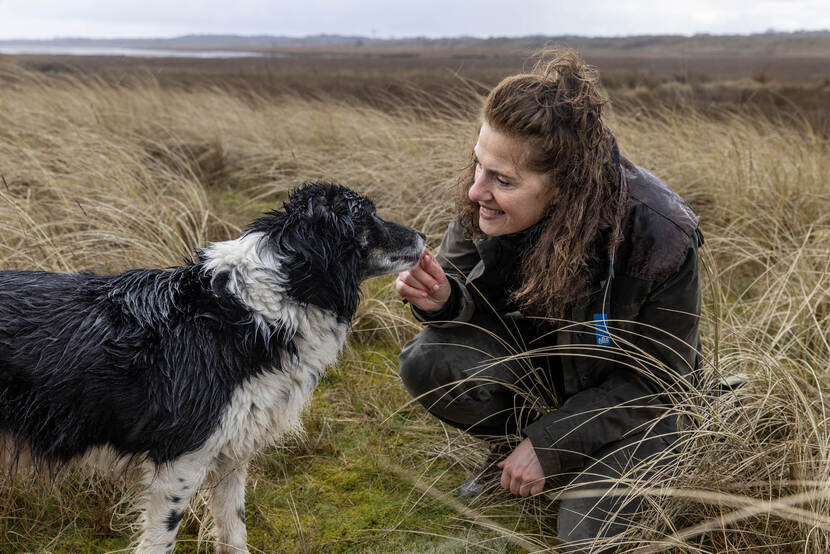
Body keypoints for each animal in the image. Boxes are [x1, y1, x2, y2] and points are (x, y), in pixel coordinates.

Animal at [0, 182, 426, 552]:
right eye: (366, 216)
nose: (423, 235)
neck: (253, 313)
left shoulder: (232, 453)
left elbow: (233, 532)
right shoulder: (182, 459)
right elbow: (160, 542)